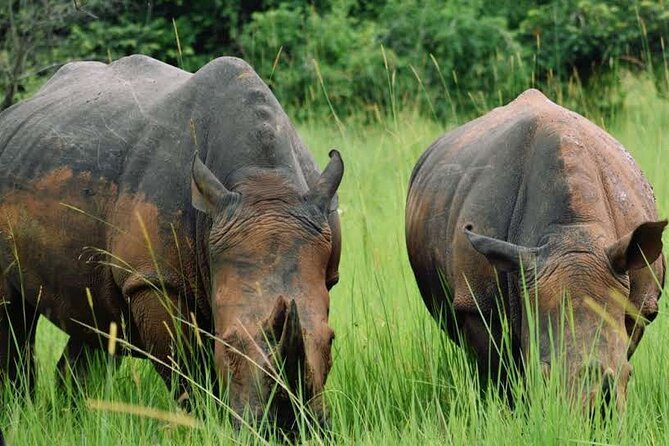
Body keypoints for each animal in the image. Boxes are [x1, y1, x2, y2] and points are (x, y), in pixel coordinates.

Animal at [0, 55, 343, 430]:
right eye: (228, 344)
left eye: (331, 340)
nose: (286, 428)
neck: (264, 185)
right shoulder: (154, 279)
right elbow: (188, 369)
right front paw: (210, 424)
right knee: (12, 318)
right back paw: (19, 414)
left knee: (96, 319)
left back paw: (74, 419)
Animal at [406, 89, 665, 411]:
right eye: (543, 374)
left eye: (628, 375)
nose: (594, 419)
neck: (571, 233)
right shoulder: (478, 304)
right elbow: (501, 374)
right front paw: (510, 412)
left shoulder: (640, 300)